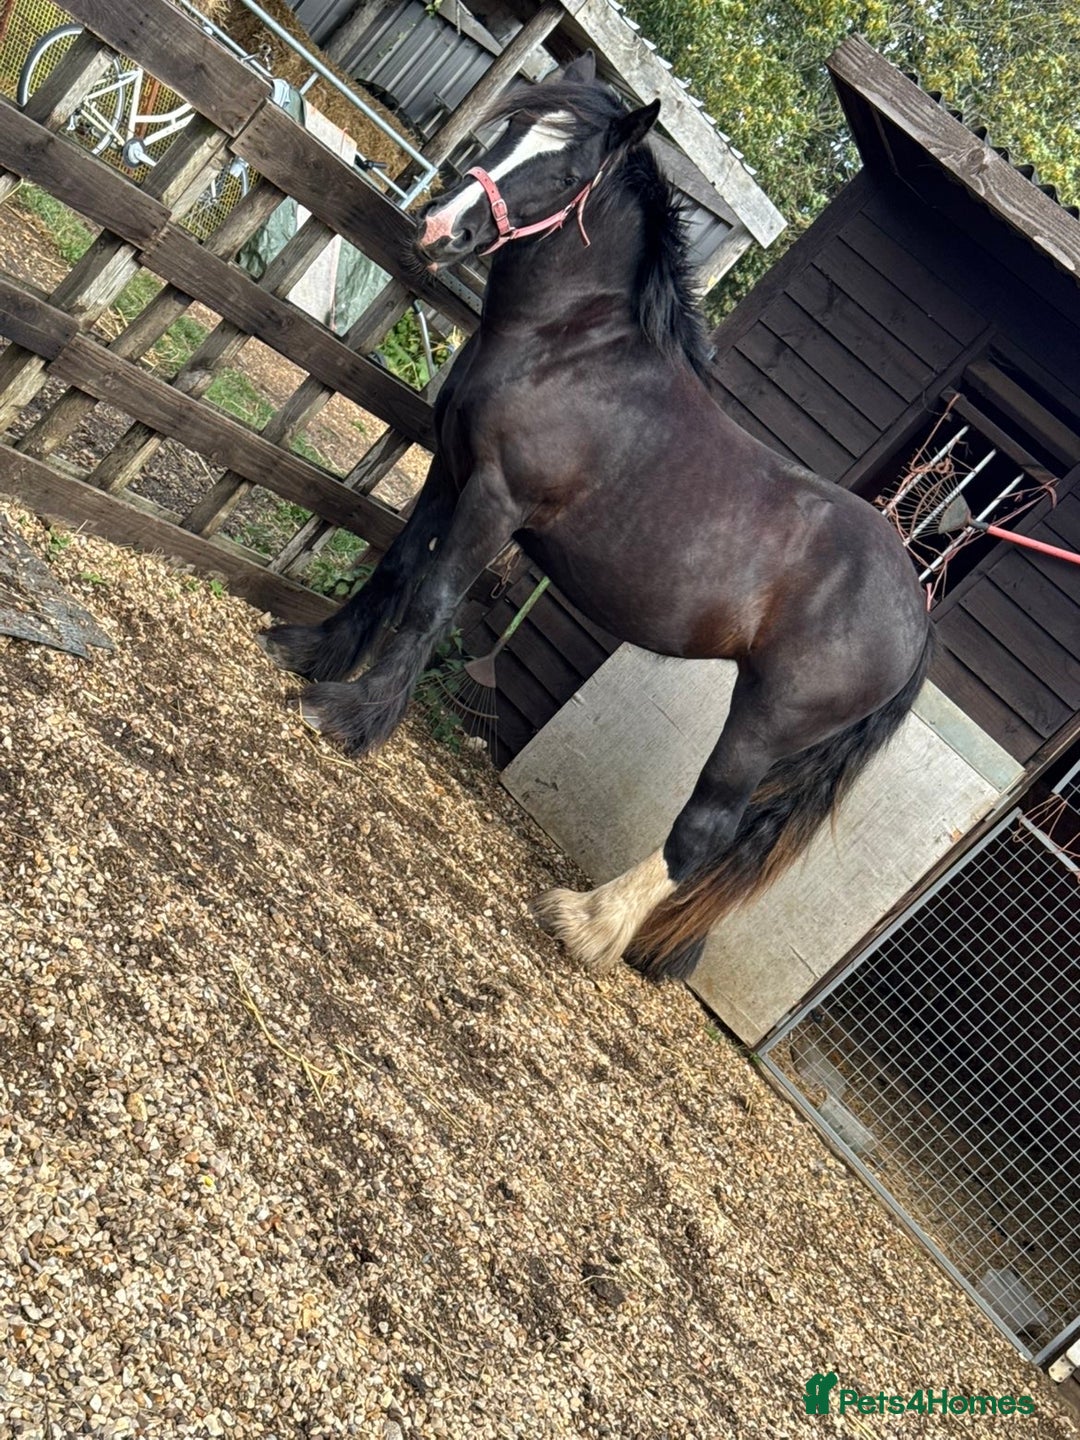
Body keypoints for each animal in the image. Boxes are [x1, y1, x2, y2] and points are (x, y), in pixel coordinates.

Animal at [260, 53, 933, 982]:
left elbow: (431, 598)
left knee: (706, 830)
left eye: (568, 173)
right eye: (510, 130)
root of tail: (916, 614)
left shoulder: (495, 499)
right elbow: (395, 565)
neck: (572, 351)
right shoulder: (451, 470)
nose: (440, 229)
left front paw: (351, 716)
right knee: (730, 847)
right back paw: (658, 950)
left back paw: (587, 923)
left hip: (765, 720)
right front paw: (309, 652)